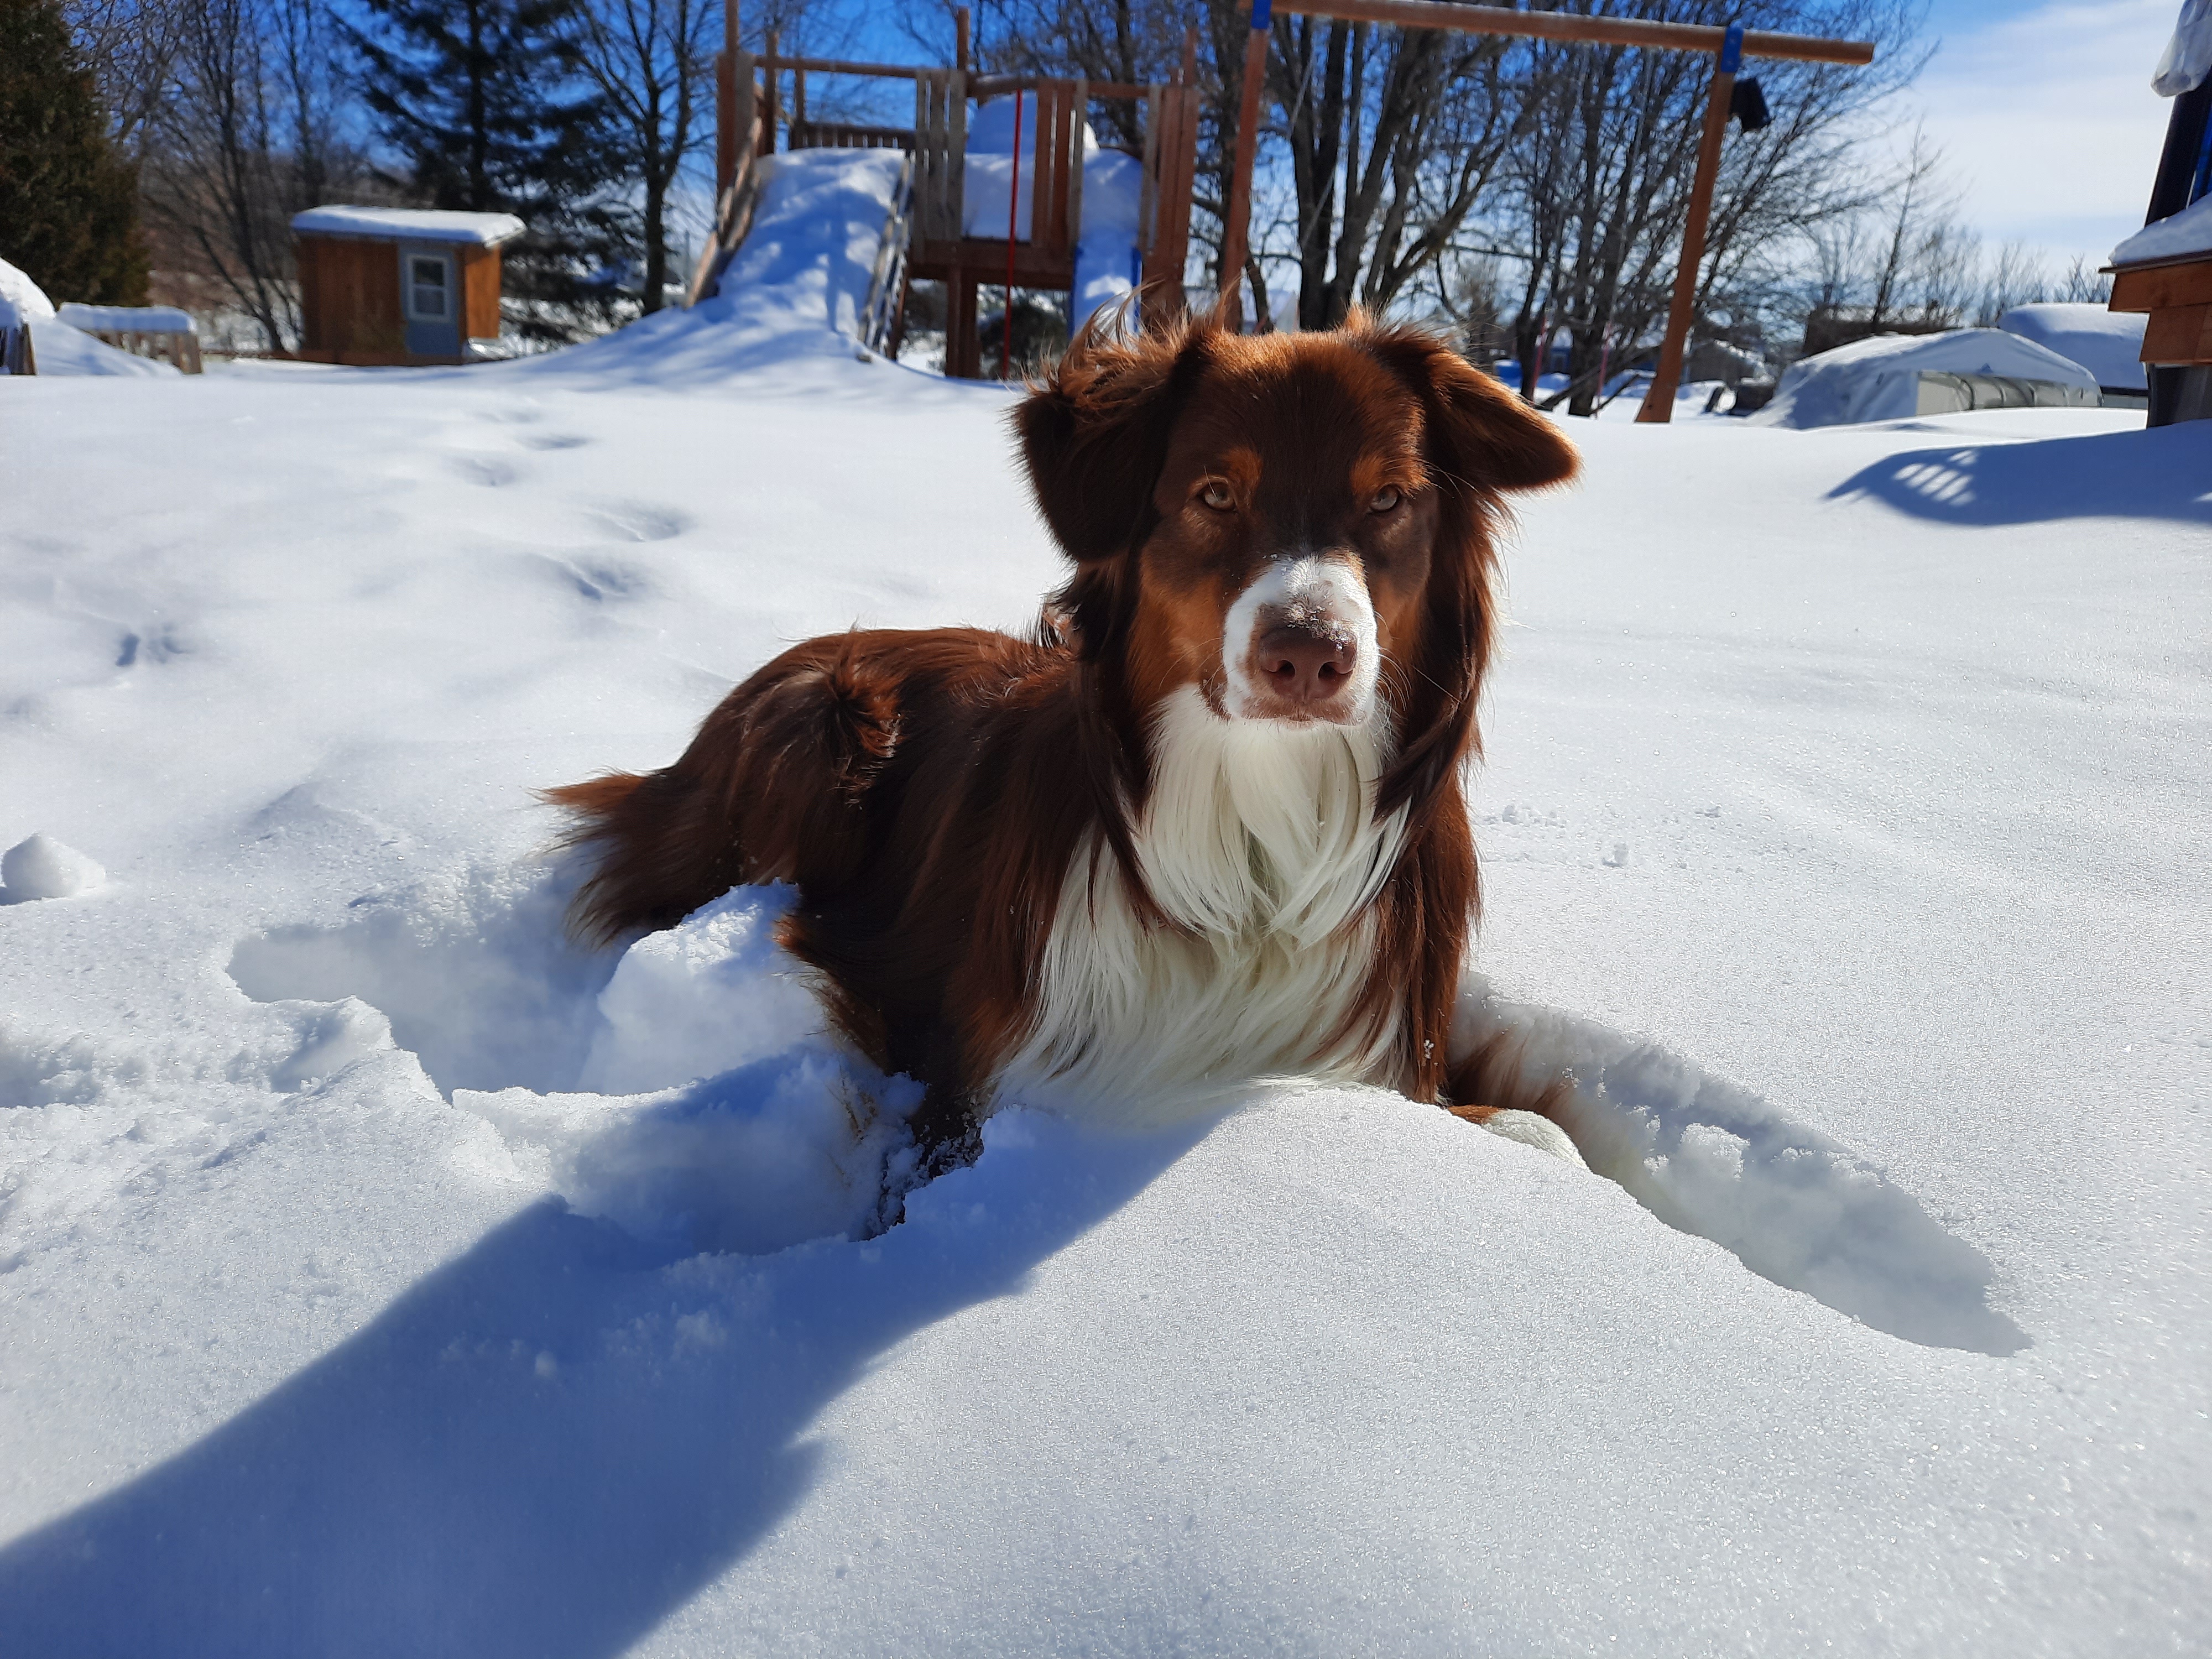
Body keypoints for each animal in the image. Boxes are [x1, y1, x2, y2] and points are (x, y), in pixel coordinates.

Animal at [548, 313, 1580, 1167]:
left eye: (1388, 500)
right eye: (1215, 494)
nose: (1310, 657)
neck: (1253, 829)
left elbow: (1542, 1131)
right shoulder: (981, 1083)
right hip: (818, 724)